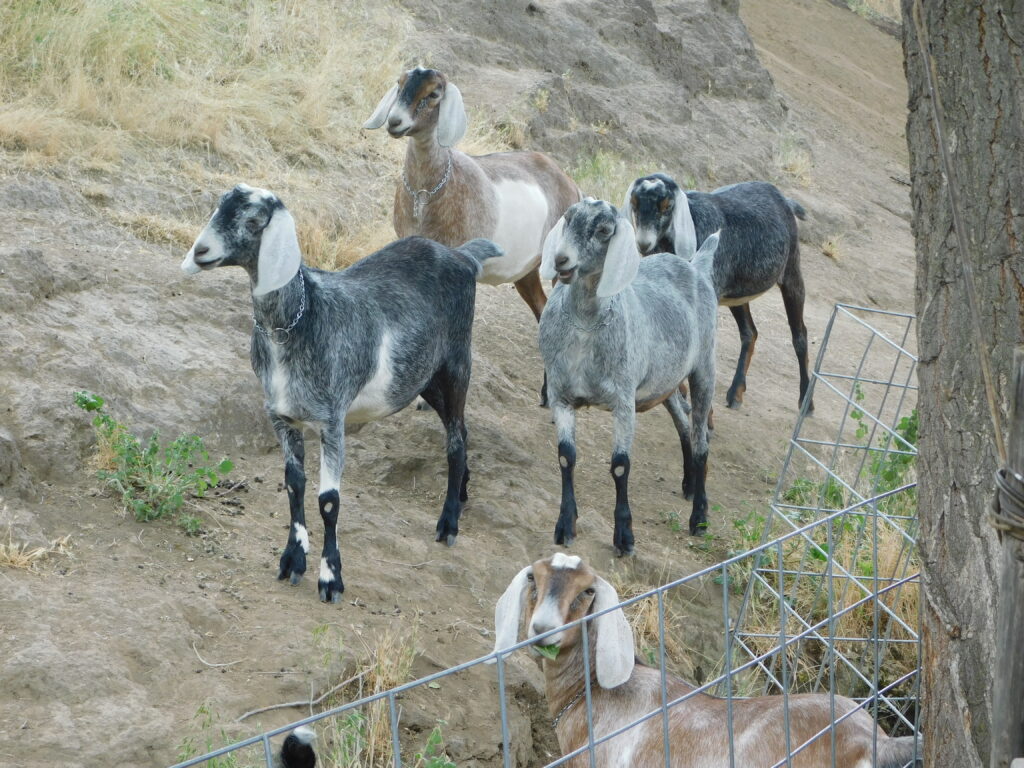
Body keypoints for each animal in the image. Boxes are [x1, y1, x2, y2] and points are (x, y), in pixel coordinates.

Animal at [184, 185, 503, 602]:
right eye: (217, 209)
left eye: (254, 220)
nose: (201, 251)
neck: (302, 318)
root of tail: (463, 257)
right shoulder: (281, 417)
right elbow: (294, 486)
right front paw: (292, 560)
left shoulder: (331, 419)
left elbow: (329, 501)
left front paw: (330, 578)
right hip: (423, 379)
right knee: (461, 429)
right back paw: (462, 494)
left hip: (455, 366)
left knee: (455, 440)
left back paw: (448, 522)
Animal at [364, 64, 581, 409]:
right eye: (400, 85)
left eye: (434, 94)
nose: (396, 122)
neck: (427, 195)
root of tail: (570, 183)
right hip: (527, 273)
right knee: (542, 309)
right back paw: (546, 395)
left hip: (564, 267)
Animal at [536, 198, 720, 548]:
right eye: (567, 218)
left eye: (604, 230)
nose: (560, 258)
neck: (586, 324)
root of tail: (697, 265)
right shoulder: (560, 394)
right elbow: (566, 457)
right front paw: (565, 525)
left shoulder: (623, 400)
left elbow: (620, 466)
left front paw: (624, 535)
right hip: (665, 381)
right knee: (683, 422)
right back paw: (689, 484)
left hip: (704, 368)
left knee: (702, 438)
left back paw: (700, 517)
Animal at [618, 176, 811, 415]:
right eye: (634, 203)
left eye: (667, 206)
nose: (644, 243)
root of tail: (783, 199)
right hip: (737, 294)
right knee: (750, 332)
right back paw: (736, 392)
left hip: (791, 272)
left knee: (800, 336)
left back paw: (806, 402)